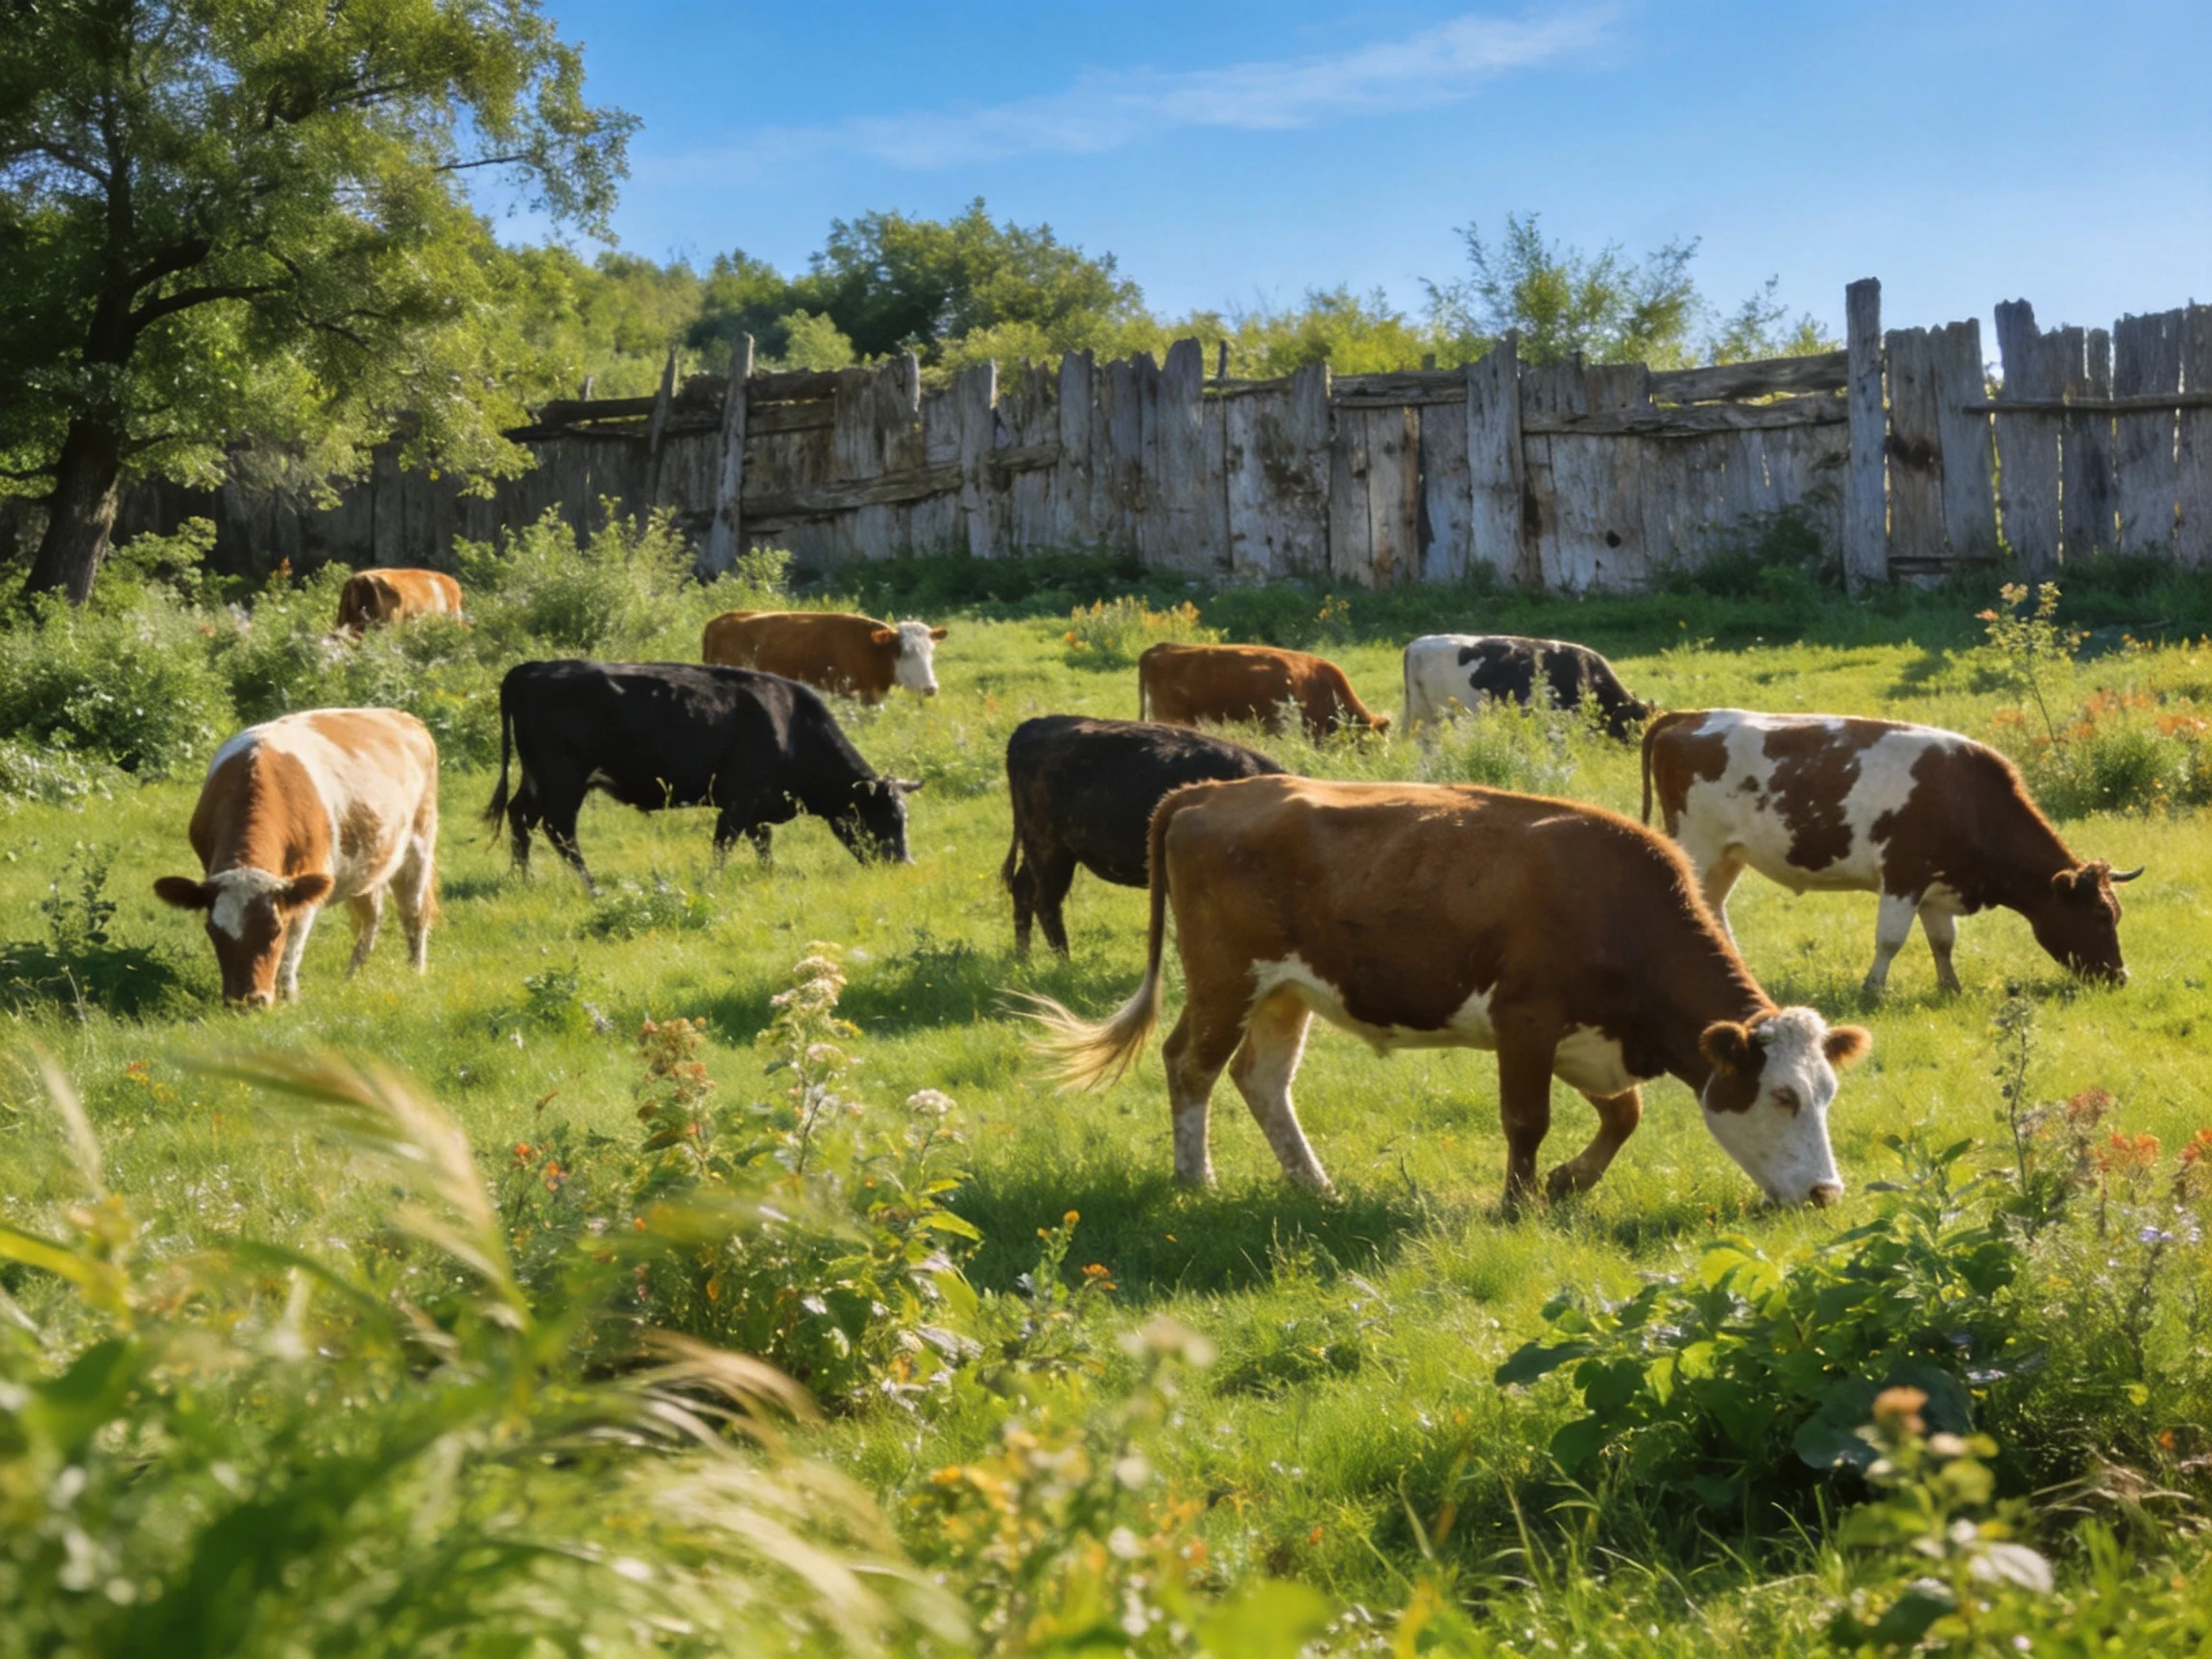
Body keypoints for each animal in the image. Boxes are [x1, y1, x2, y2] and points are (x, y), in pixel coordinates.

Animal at [153, 709, 439, 1008]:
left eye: (274, 931)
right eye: (212, 931)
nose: (246, 1002)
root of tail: (402, 716)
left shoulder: (305, 885)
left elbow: (291, 951)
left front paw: (288, 997)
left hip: (419, 846)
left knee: (413, 914)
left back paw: (415, 971)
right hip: (368, 865)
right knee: (370, 918)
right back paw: (353, 976)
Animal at [483, 660, 921, 889]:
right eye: (882, 818)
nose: (904, 864)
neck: (791, 726)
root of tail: (532, 669)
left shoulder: (758, 804)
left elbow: (762, 842)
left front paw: (768, 874)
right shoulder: (739, 799)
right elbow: (724, 843)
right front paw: (715, 880)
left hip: (537, 779)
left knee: (520, 817)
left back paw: (522, 878)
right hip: (563, 781)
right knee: (559, 830)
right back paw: (590, 885)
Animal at [1001, 716, 1285, 959]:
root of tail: (1030, 726)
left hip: (1043, 852)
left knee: (1023, 890)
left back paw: (1023, 959)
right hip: (1050, 850)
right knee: (1046, 902)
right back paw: (1063, 963)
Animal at [1028, 775, 1871, 1212]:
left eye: (1830, 1094)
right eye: (1784, 1097)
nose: (1828, 1193)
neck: (1616, 904)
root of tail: (1207, 791)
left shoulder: (1587, 1040)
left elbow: (1623, 1116)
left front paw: (1568, 1181)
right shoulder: (1525, 1020)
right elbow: (1527, 1122)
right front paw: (1517, 1206)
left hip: (1284, 991)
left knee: (1260, 1079)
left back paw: (1315, 1185)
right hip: (1224, 977)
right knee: (1190, 1066)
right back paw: (1194, 1178)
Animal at [1641, 709, 2141, 998]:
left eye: (2116, 915)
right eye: (2100, 916)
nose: (2121, 977)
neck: (1968, 798)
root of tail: (1690, 716)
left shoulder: (1939, 887)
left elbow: (1942, 941)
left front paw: (1950, 988)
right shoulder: (1904, 876)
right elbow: (1891, 939)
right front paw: (1873, 989)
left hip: (1729, 854)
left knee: (1713, 905)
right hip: (1697, 846)